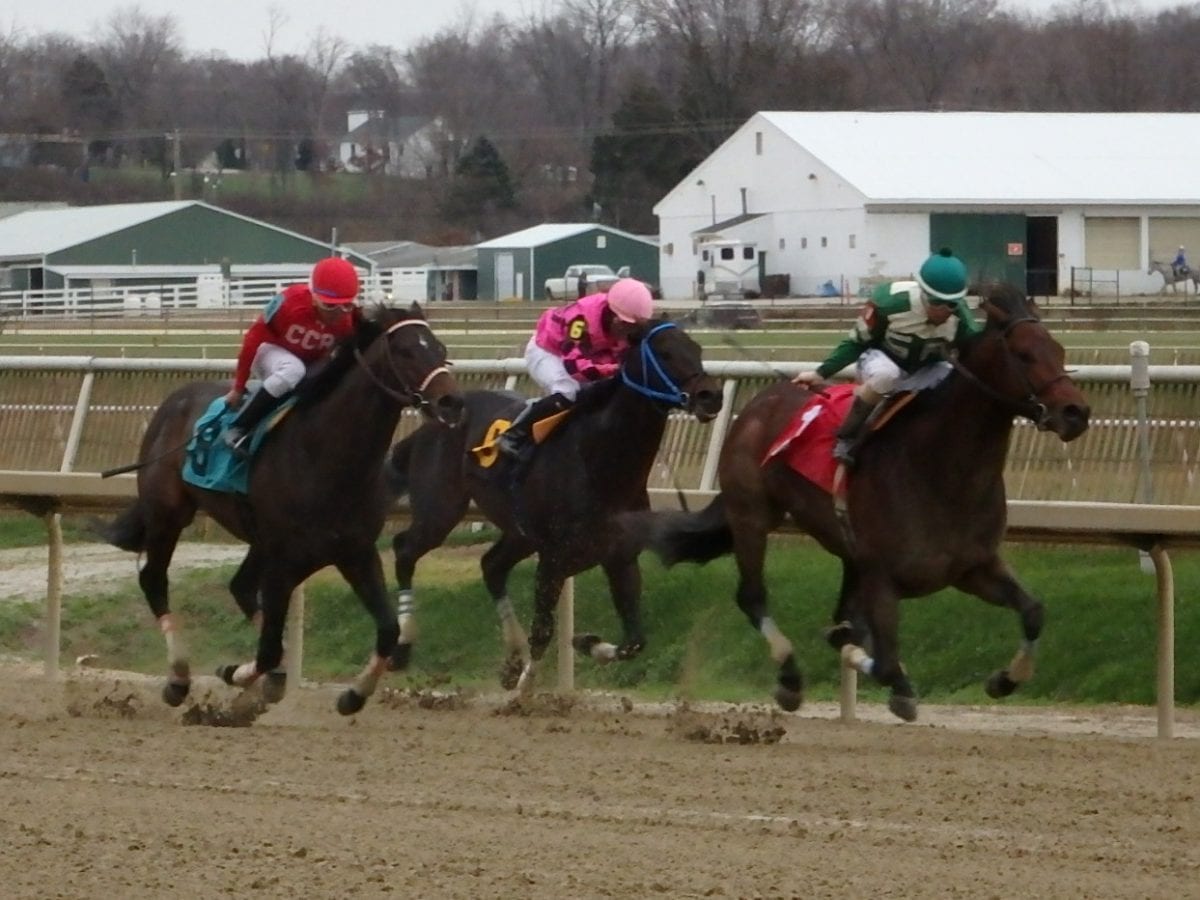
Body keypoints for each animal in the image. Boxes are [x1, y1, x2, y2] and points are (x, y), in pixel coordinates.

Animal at [100, 307, 463, 715]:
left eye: (440, 348)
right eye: (405, 351)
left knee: (240, 587)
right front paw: (237, 672)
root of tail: (175, 399)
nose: (452, 402)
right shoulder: (283, 559)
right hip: (168, 513)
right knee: (155, 579)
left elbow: (387, 630)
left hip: (256, 540)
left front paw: (353, 694)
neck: (327, 456)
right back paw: (179, 678)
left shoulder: (355, 551)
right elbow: (270, 646)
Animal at [386, 321, 720, 696]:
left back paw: (511, 658)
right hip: (440, 510)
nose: (711, 395)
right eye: (665, 352)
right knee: (405, 549)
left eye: (697, 349)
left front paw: (586, 643)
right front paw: (525, 690)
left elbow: (634, 640)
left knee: (492, 565)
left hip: (519, 532)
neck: (601, 462)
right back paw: (401, 648)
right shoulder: (553, 560)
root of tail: (438, 419)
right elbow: (543, 630)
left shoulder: (620, 557)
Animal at [643, 285, 1094, 724]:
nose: (1076, 412)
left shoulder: (972, 566)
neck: (943, 470)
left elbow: (1033, 611)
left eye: (1060, 351)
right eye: (1024, 354)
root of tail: (759, 402)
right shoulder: (882, 575)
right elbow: (887, 661)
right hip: (751, 515)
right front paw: (899, 689)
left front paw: (1004, 680)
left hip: (844, 551)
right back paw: (789, 678)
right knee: (752, 596)